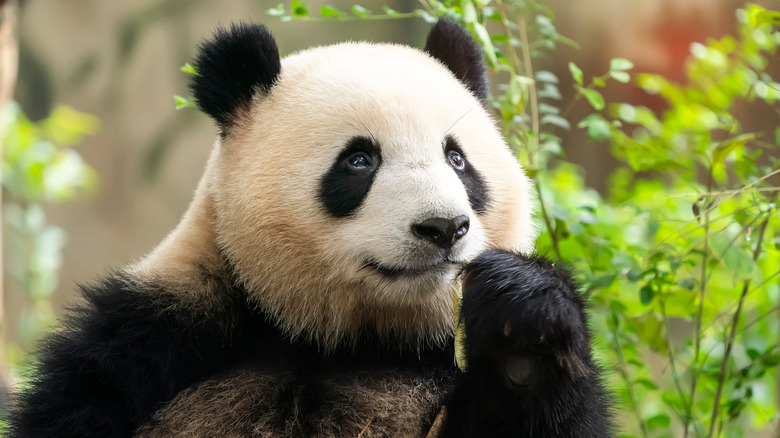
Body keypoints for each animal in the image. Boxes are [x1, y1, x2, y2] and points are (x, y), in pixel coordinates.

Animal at [9, 18, 612, 436]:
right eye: (359, 160)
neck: (343, 338)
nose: (443, 227)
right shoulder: (152, 338)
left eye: (458, 159)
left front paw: (523, 331)